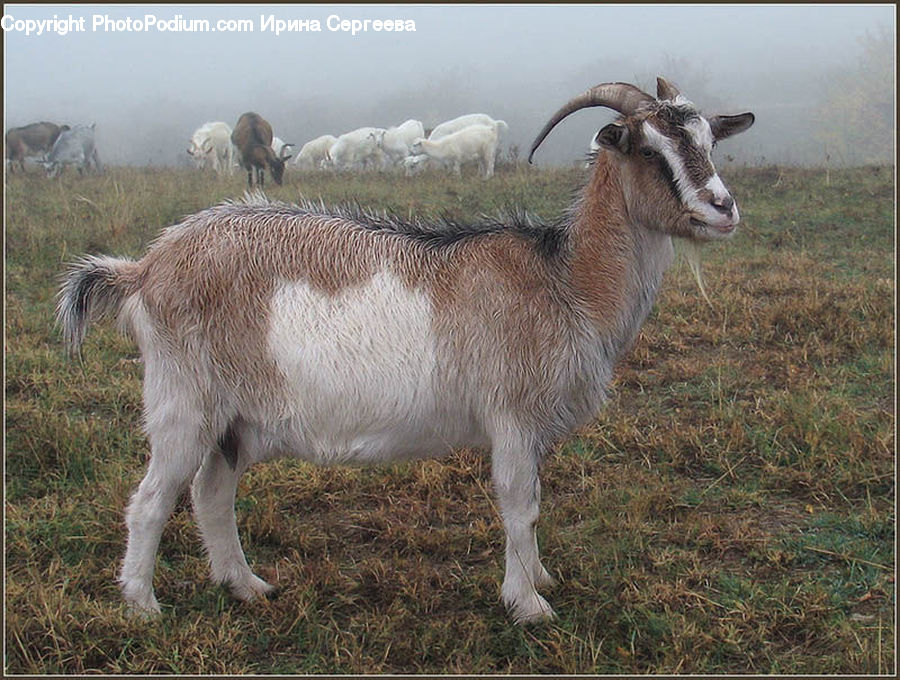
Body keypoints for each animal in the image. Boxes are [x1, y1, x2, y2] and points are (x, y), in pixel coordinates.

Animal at [57, 77, 753, 624]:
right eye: (647, 148)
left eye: (709, 141)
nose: (723, 210)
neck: (566, 280)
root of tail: (145, 267)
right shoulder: (510, 414)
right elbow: (518, 504)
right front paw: (528, 604)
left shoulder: (536, 426)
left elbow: (532, 507)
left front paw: (539, 579)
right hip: (184, 399)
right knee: (152, 499)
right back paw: (143, 606)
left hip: (235, 416)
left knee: (211, 492)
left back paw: (246, 586)